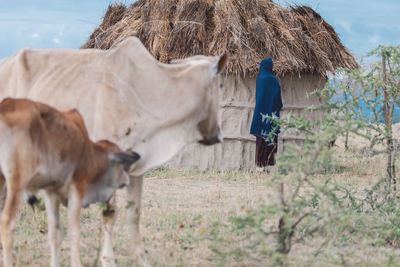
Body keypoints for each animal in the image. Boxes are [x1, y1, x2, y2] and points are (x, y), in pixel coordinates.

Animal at [0, 99, 139, 267]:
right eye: (121, 166)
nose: (127, 180)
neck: (89, 152)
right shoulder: (77, 188)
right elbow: (74, 231)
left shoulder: (50, 193)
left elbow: (55, 234)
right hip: (17, 182)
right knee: (7, 223)